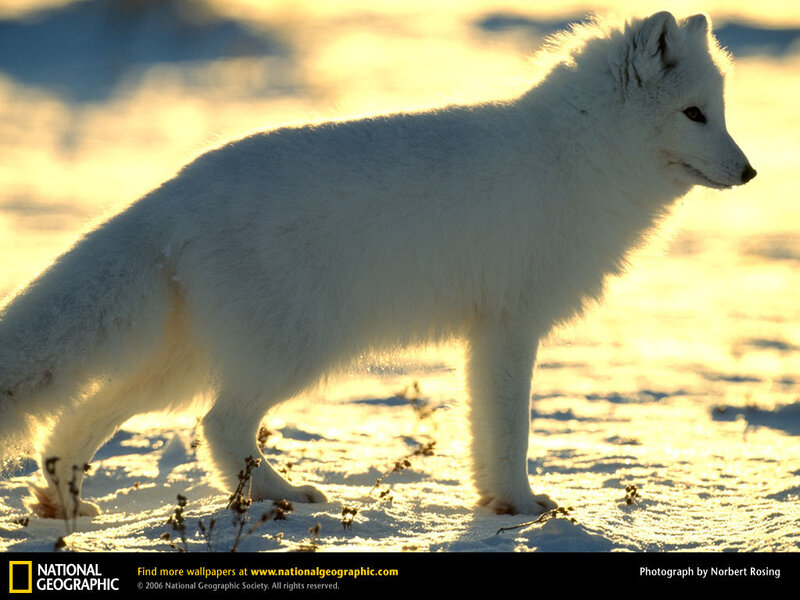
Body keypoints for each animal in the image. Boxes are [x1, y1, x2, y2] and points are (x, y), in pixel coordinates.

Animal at [0, 11, 755, 518]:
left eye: (720, 113)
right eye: (694, 114)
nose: (750, 172)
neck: (578, 155)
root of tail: (178, 189)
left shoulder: (487, 335)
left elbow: (486, 431)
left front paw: (498, 502)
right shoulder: (511, 326)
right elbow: (510, 431)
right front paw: (522, 505)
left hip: (183, 363)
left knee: (88, 416)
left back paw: (65, 501)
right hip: (293, 351)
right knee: (217, 425)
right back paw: (283, 495)